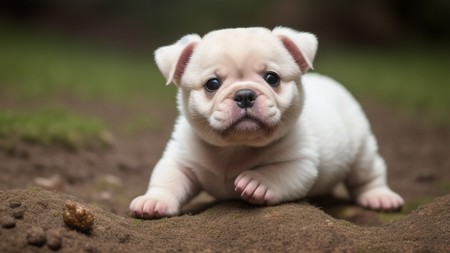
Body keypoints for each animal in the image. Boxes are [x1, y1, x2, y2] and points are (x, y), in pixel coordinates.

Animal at [129, 26, 404, 218]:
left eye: (272, 78)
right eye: (212, 84)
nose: (244, 95)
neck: (234, 147)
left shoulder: (300, 163)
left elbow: (276, 172)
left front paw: (256, 181)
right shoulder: (180, 160)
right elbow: (168, 179)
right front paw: (154, 201)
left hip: (361, 148)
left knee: (368, 174)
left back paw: (380, 197)